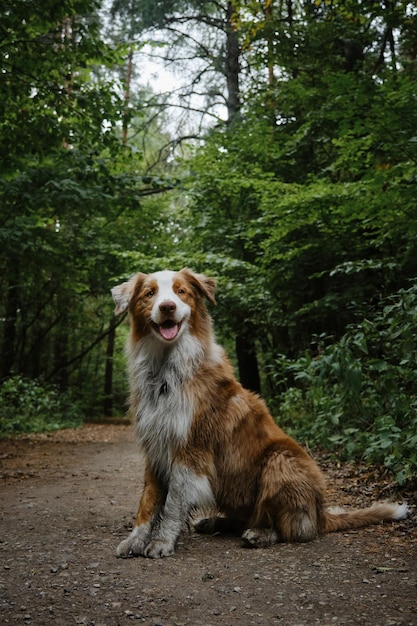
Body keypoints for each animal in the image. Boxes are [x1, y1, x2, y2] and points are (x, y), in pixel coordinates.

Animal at [110, 266, 406, 556]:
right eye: (150, 293)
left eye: (181, 291)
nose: (168, 307)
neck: (165, 371)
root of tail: (321, 511)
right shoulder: (154, 445)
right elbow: (148, 500)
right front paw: (135, 540)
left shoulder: (190, 448)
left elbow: (173, 502)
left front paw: (162, 542)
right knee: (249, 517)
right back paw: (216, 522)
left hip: (280, 460)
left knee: (297, 530)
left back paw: (261, 534)